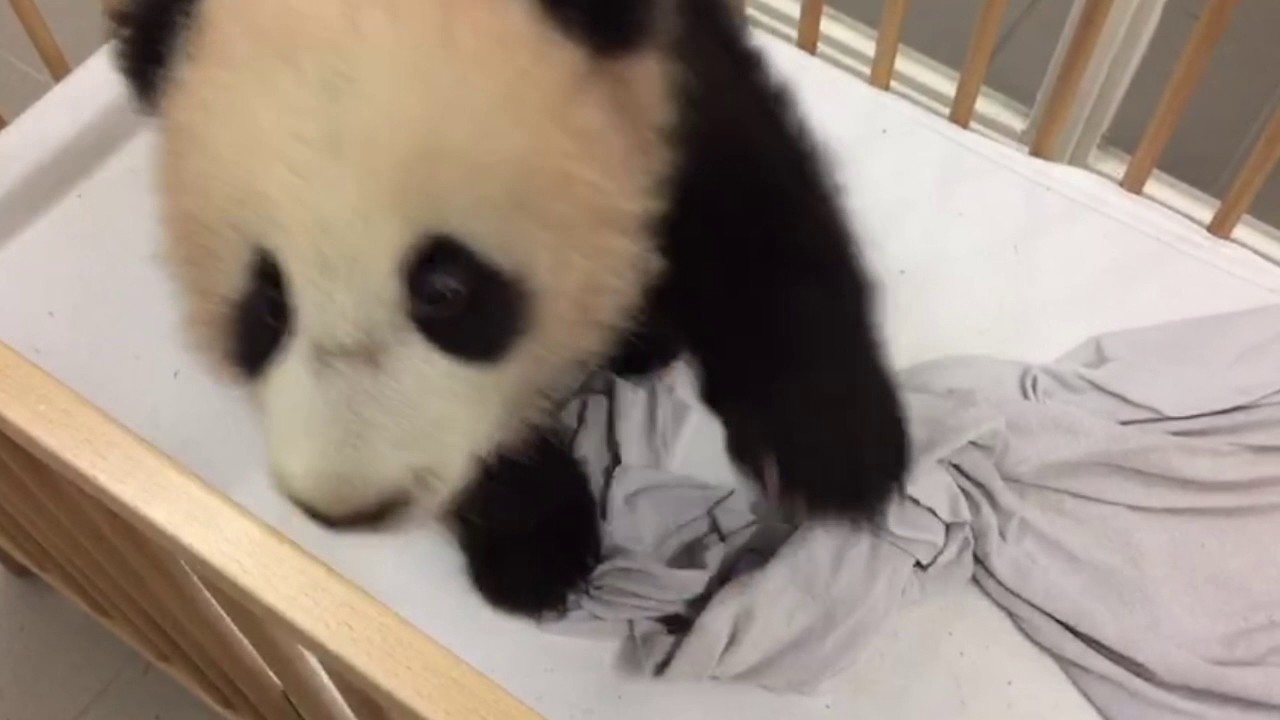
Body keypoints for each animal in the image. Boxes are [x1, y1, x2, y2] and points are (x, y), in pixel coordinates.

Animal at [110, 0, 907, 617]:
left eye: (445, 290)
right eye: (268, 305)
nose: (350, 507)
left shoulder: (671, 62)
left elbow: (747, 194)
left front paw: (833, 454)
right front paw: (537, 551)